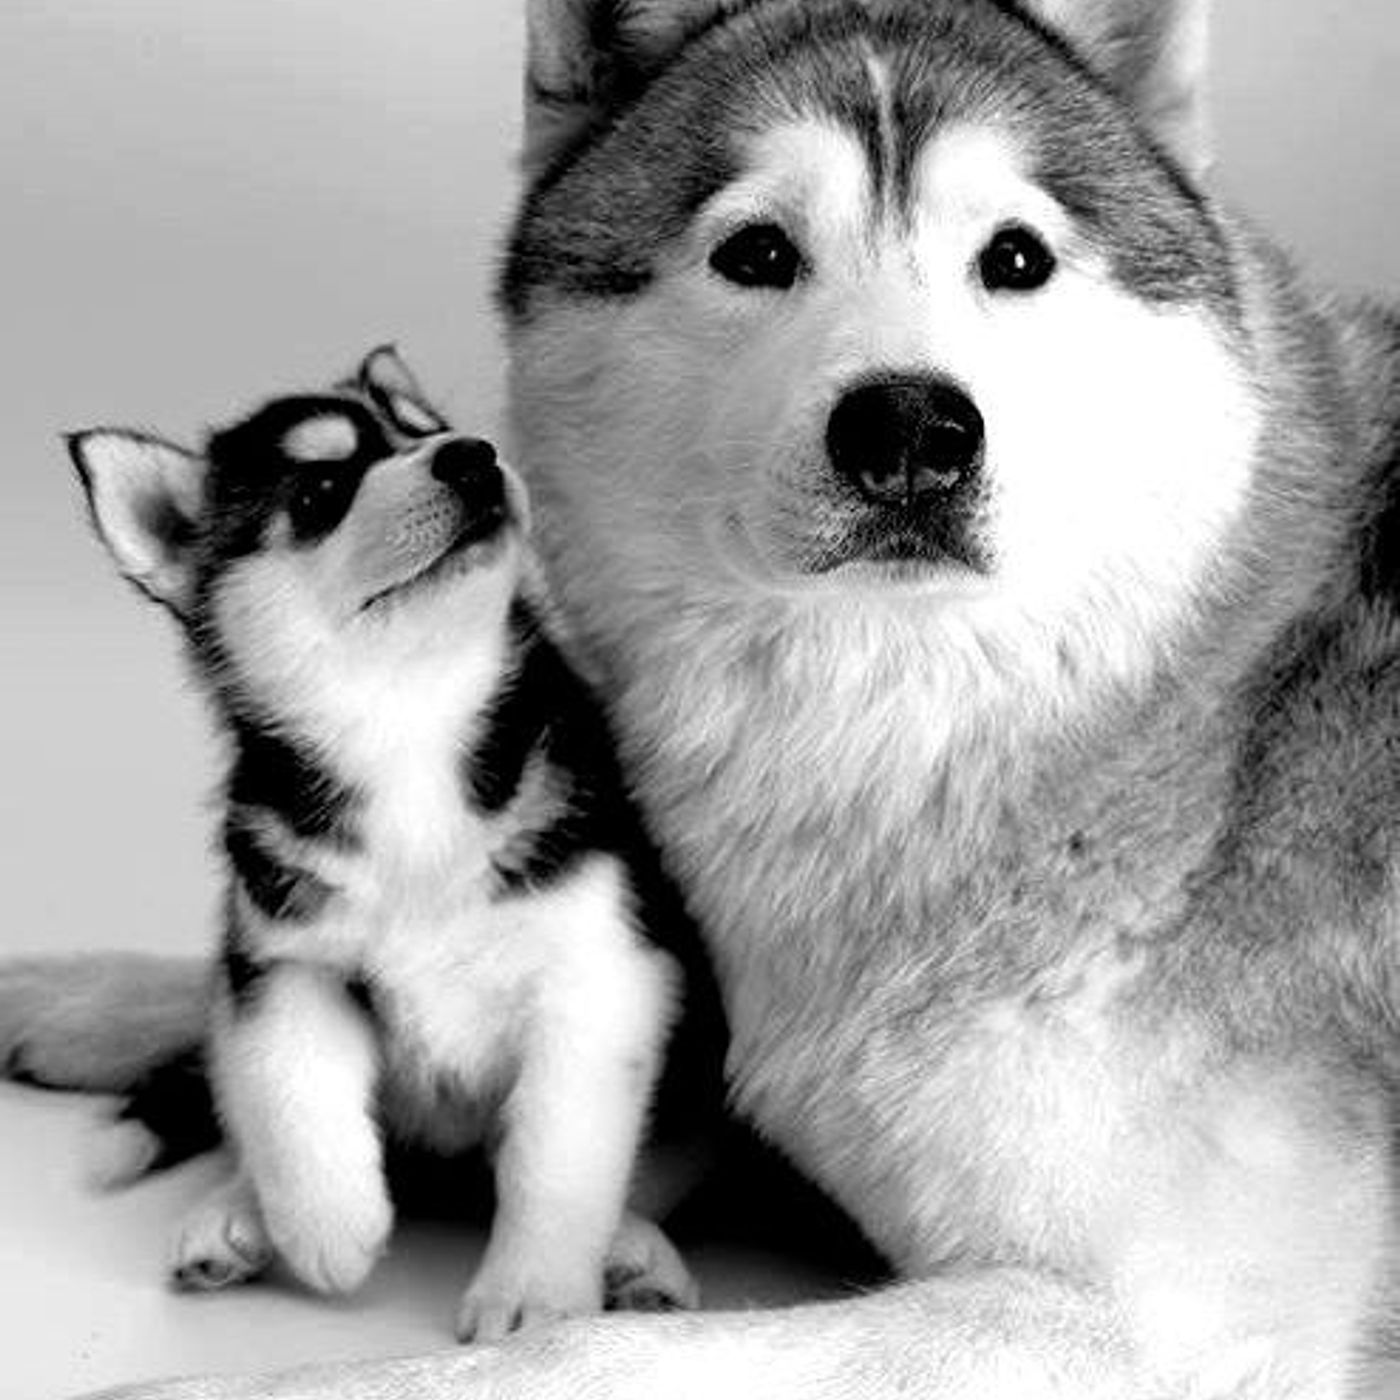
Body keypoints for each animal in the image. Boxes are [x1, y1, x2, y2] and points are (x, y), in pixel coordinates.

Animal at [6, 0, 1400, 1395]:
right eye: (757, 252)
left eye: (1013, 257)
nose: (909, 429)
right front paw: (80, 994)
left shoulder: (1156, 1325)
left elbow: (563, 1353)